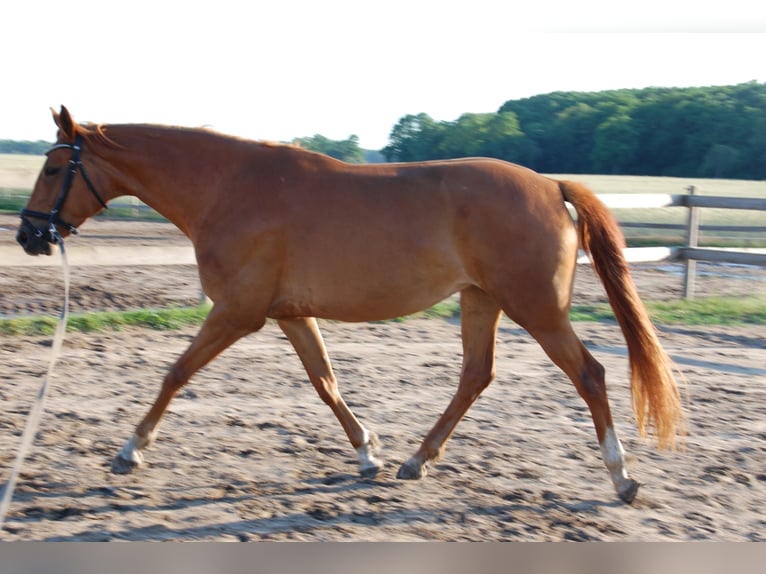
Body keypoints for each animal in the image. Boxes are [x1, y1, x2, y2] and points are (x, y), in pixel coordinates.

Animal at [16, 107, 684, 504]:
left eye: (52, 167)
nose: (28, 236)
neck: (227, 189)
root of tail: (550, 185)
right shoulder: (289, 313)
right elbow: (326, 382)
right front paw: (368, 455)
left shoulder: (237, 312)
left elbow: (175, 372)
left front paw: (129, 451)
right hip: (481, 301)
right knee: (475, 376)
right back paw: (416, 461)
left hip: (536, 309)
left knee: (589, 374)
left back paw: (622, 476)